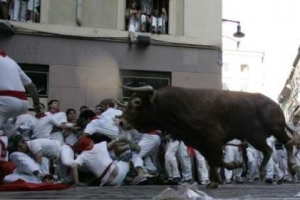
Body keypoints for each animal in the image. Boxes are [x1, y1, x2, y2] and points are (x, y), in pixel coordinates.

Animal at [117, 85, 298, 188]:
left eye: (137, 102)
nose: (121, 121)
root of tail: (274, 104)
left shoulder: (213, 138)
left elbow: (217, 160)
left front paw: (234, 164)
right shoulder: (200, 143)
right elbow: (211, 161)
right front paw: (214, 181)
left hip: (276, 129)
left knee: (288, 143)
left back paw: (291, 167)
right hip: (256, 137)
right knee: (268, 150)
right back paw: (262, 172)